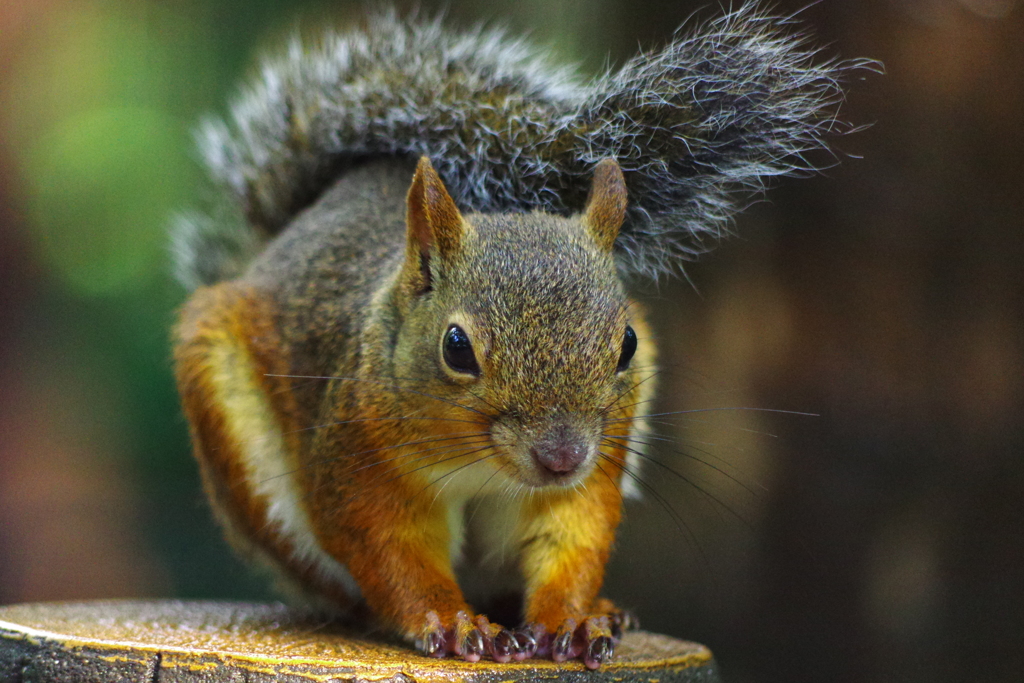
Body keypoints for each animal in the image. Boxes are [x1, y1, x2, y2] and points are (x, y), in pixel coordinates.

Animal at [169, 2, 864, 671]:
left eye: (628, 345)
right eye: (456, 348)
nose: (561, 458)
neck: (483, 463)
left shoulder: (593, 468)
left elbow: (572, 538)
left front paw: (572, 621)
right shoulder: (353, 458)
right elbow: (390, 549)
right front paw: (449, 621)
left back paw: (598, 611)